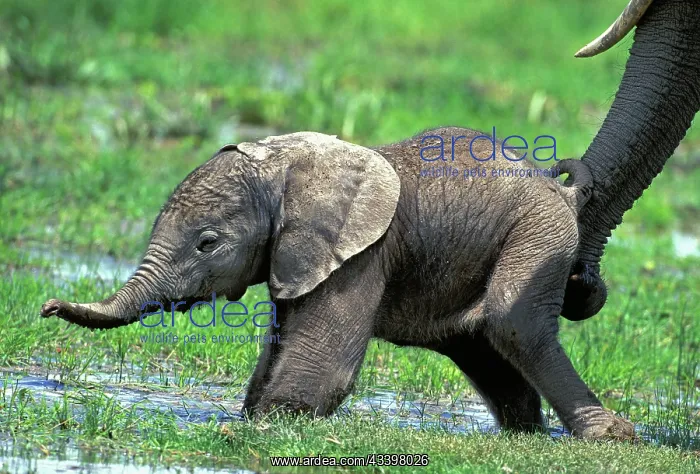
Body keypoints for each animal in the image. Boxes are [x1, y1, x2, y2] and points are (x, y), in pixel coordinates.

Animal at [40, 0, 700, 440]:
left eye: (207, 243)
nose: (46, 307)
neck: (292, 167)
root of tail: (554, 187)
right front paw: (245, 418)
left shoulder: (360, 258)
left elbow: (318, 373)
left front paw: (255, 428)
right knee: (482, 343)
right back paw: (527, 434)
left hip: (538, 234)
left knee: (515, 325)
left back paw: (611, 436)